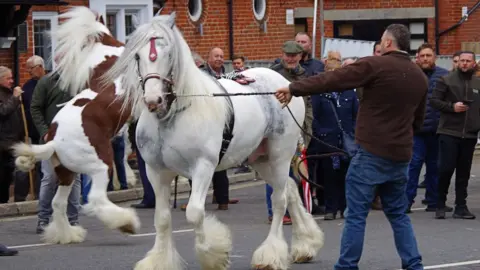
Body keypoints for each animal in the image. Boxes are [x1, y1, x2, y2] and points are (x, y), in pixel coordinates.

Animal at [11, 6, 141, 244]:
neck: (107, 58)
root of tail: (53, 141)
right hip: (100, 166)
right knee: (95, 199)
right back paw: (127, 223)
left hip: (66, 173)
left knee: (58, 203)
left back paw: (68, 234)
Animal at [103, 12, 324, 270]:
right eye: (137, 55)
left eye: (169, 54)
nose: (153, 100)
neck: (172, 115)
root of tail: (284, 85)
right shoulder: (156, 171)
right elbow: (162, 218)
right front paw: (159, 260)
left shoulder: (203, 167)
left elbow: (194, 213)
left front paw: (214, 255)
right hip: (260, 158)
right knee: (289, 189)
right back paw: (305, 245)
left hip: (280, 155)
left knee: (279, 199)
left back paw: (270, 255)